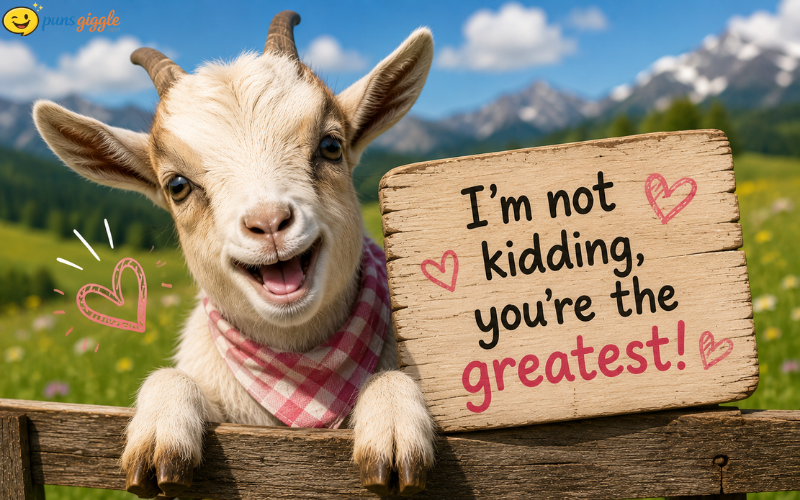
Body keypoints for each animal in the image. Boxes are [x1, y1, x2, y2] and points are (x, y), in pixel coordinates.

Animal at [33, 11, 436, 497]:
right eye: (177, 185)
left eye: (331, 146)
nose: (269, 222)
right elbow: (171, 377)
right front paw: (159, 439)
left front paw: (393, 432)